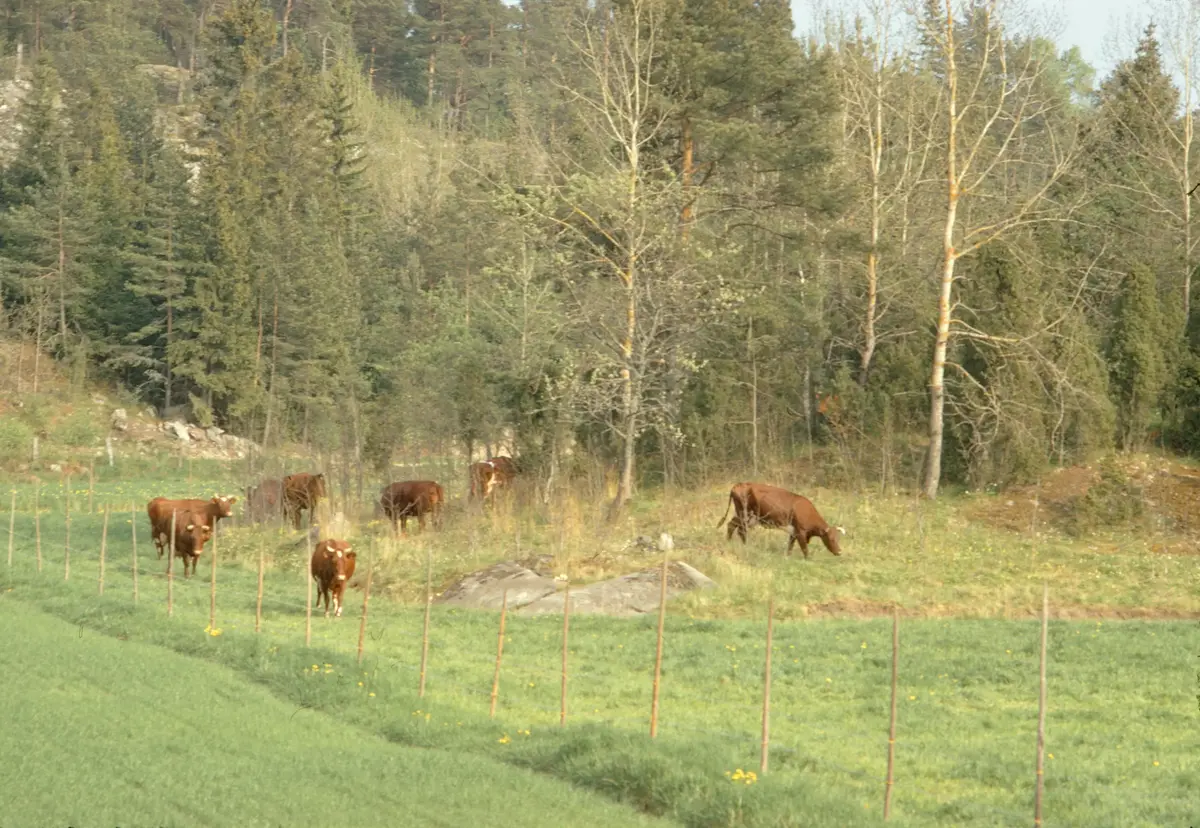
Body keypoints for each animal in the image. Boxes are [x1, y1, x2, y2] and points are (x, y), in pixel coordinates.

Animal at [716, 482, 845, 558]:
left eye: (838, 538)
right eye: (831, 539)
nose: (839, 552)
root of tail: (738, 484)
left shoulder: (794, 533)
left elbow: (790, 546)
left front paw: (787, 557)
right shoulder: (800, 532)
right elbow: (805, 550)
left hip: (746, 516)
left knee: (732, 525)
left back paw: (731, 542)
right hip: (746, 514)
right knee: (739, 529)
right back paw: (745, 545)